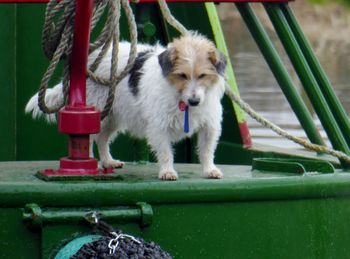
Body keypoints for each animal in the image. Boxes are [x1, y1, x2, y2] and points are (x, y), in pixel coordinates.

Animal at [25, 33, 227, 181]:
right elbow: (165, 152)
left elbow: (207, 150)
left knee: (102, 139)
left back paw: (108, 162)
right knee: (87, 139)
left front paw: (209, 170)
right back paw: (88, 164)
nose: (194, 101)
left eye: (202, 75)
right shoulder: (159, 127)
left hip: (112, 116)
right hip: (96, 114)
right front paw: (167, 171)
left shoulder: (209, 126)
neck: (180, 96)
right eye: (182, 75)